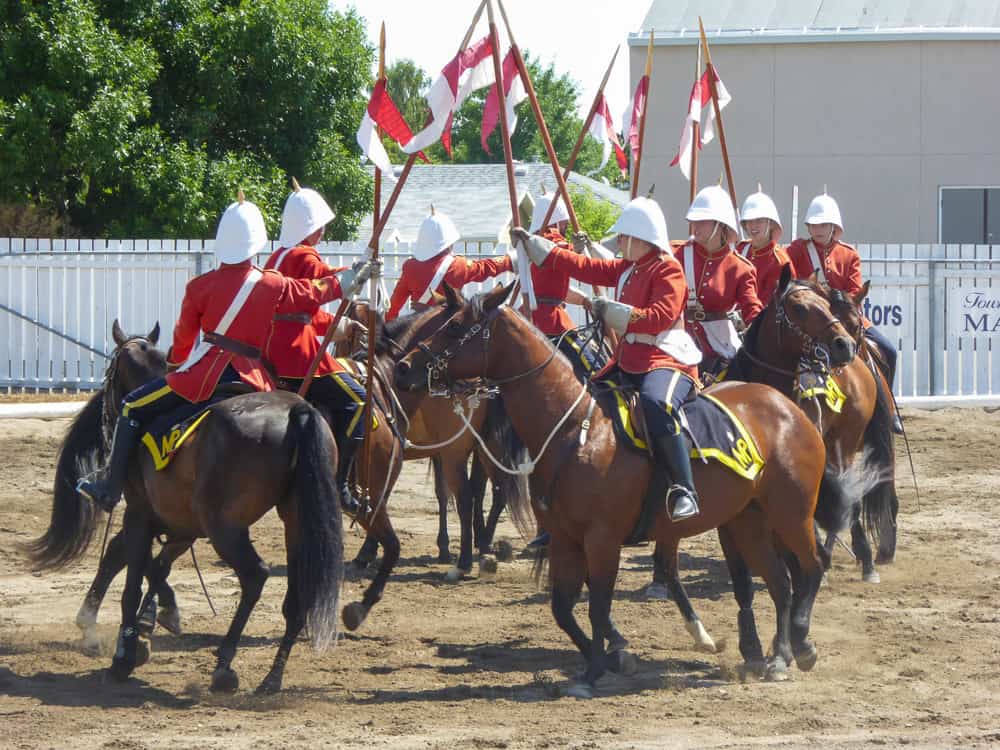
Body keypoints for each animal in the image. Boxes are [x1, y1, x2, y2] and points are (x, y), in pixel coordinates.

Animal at [24, 322, 398, 692]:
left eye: (109, 374)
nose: (105, 416)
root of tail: (299, 412)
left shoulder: (143, 513)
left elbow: (134, 576)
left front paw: (126, 651)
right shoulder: (181, 522)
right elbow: (153, 565)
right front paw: (154, 619)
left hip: (225, 527)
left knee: (256, 575)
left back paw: (224, 665)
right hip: (297, 521)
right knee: (300, 595)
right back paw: (272, 677)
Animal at [394, 284, 840, 700]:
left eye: (454, 327)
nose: (403, 367)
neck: (575, 427)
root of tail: (791, 408)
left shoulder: (602, 540)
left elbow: (597, 606)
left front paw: (594, 671)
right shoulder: (565, 539)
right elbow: (562, 608)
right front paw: (611, 658)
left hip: (790, 514)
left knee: (811, 565)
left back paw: (797, 647)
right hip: (749, 520)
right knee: (780, 581)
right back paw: (778, 656)